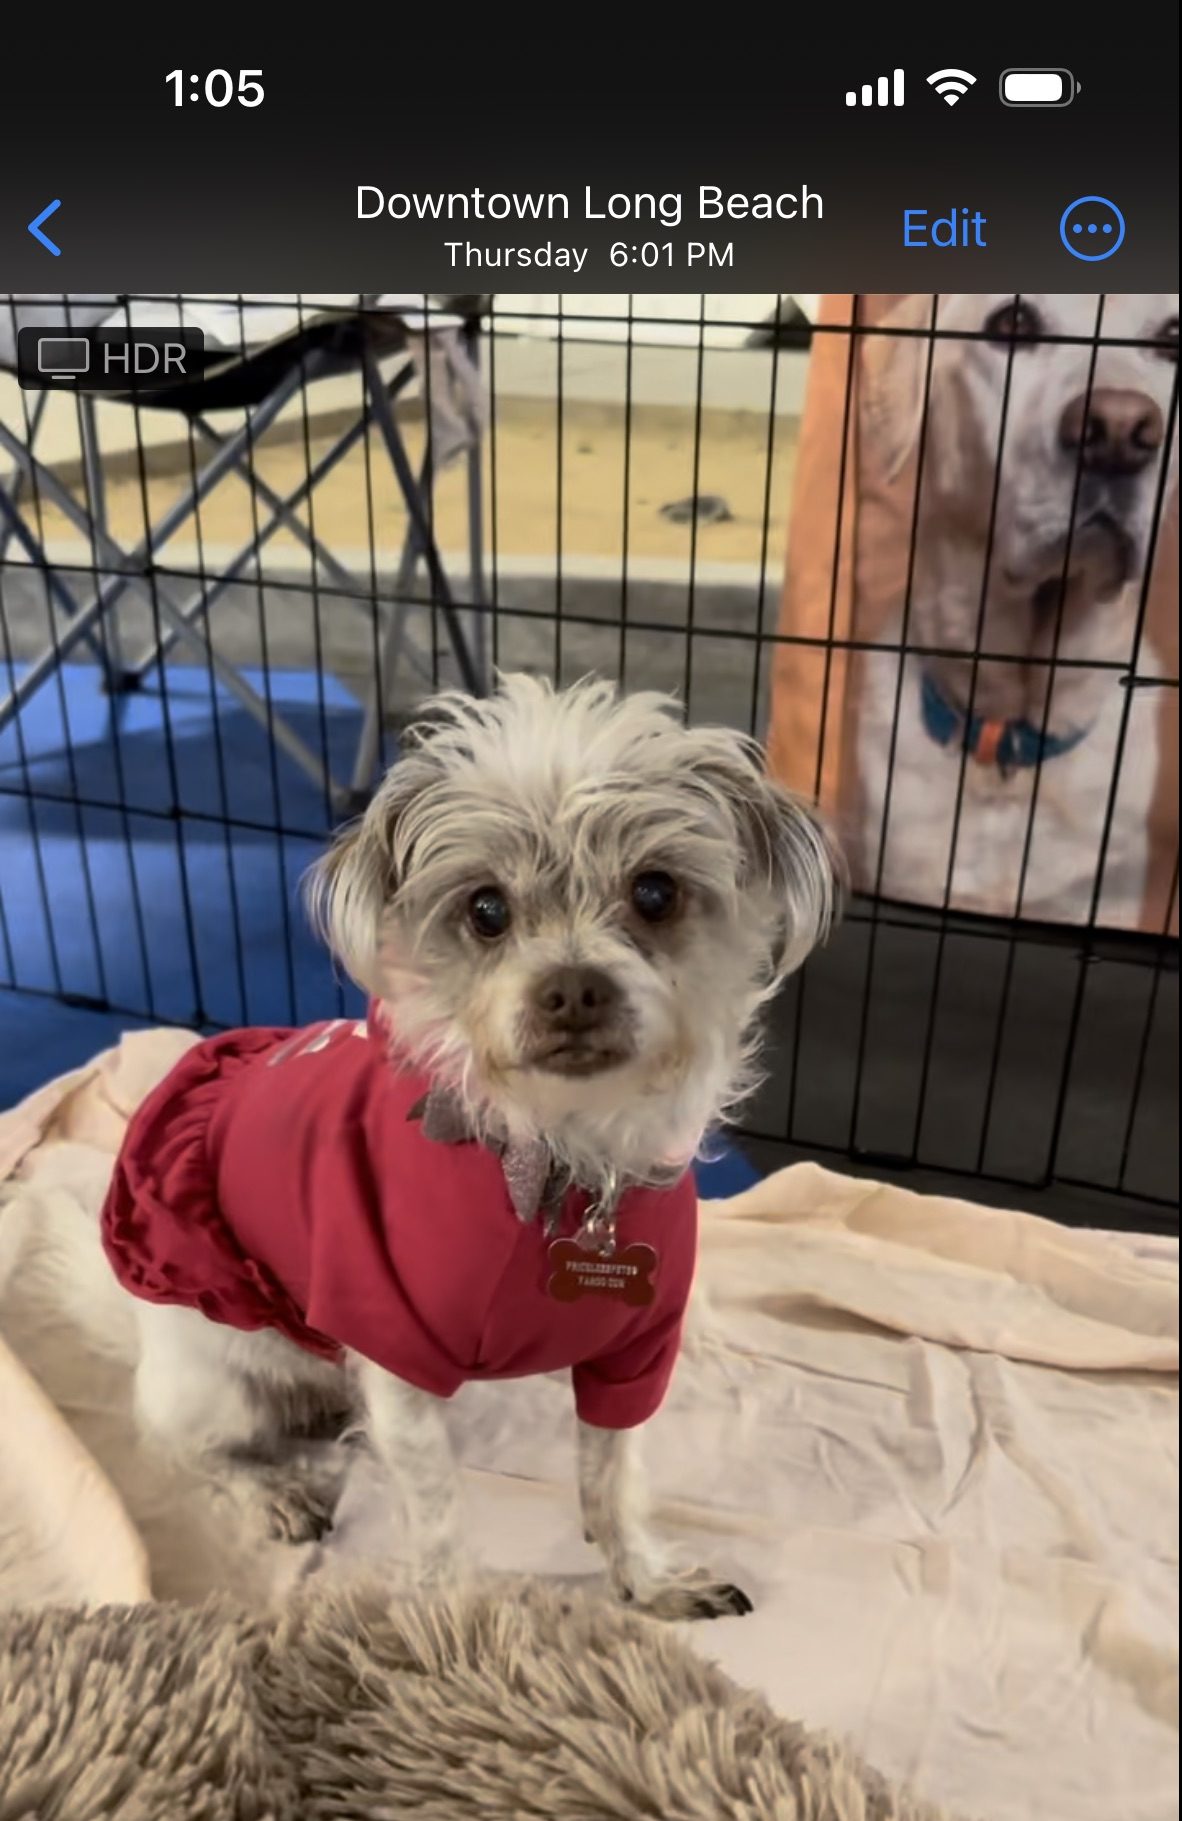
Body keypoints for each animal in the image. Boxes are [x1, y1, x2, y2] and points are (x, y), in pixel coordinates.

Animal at [99, 677, 837, 1617]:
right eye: (486, 909)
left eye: (656, 891)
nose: (572, 989)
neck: (561, 1160)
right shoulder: (398, 1363)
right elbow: (439, 1512)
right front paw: (453, 1627)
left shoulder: (635, 1354)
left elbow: (614, 1474)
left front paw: (643, 1577)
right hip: (212, 1379)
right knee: (181, 1448)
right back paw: (271, 1489)